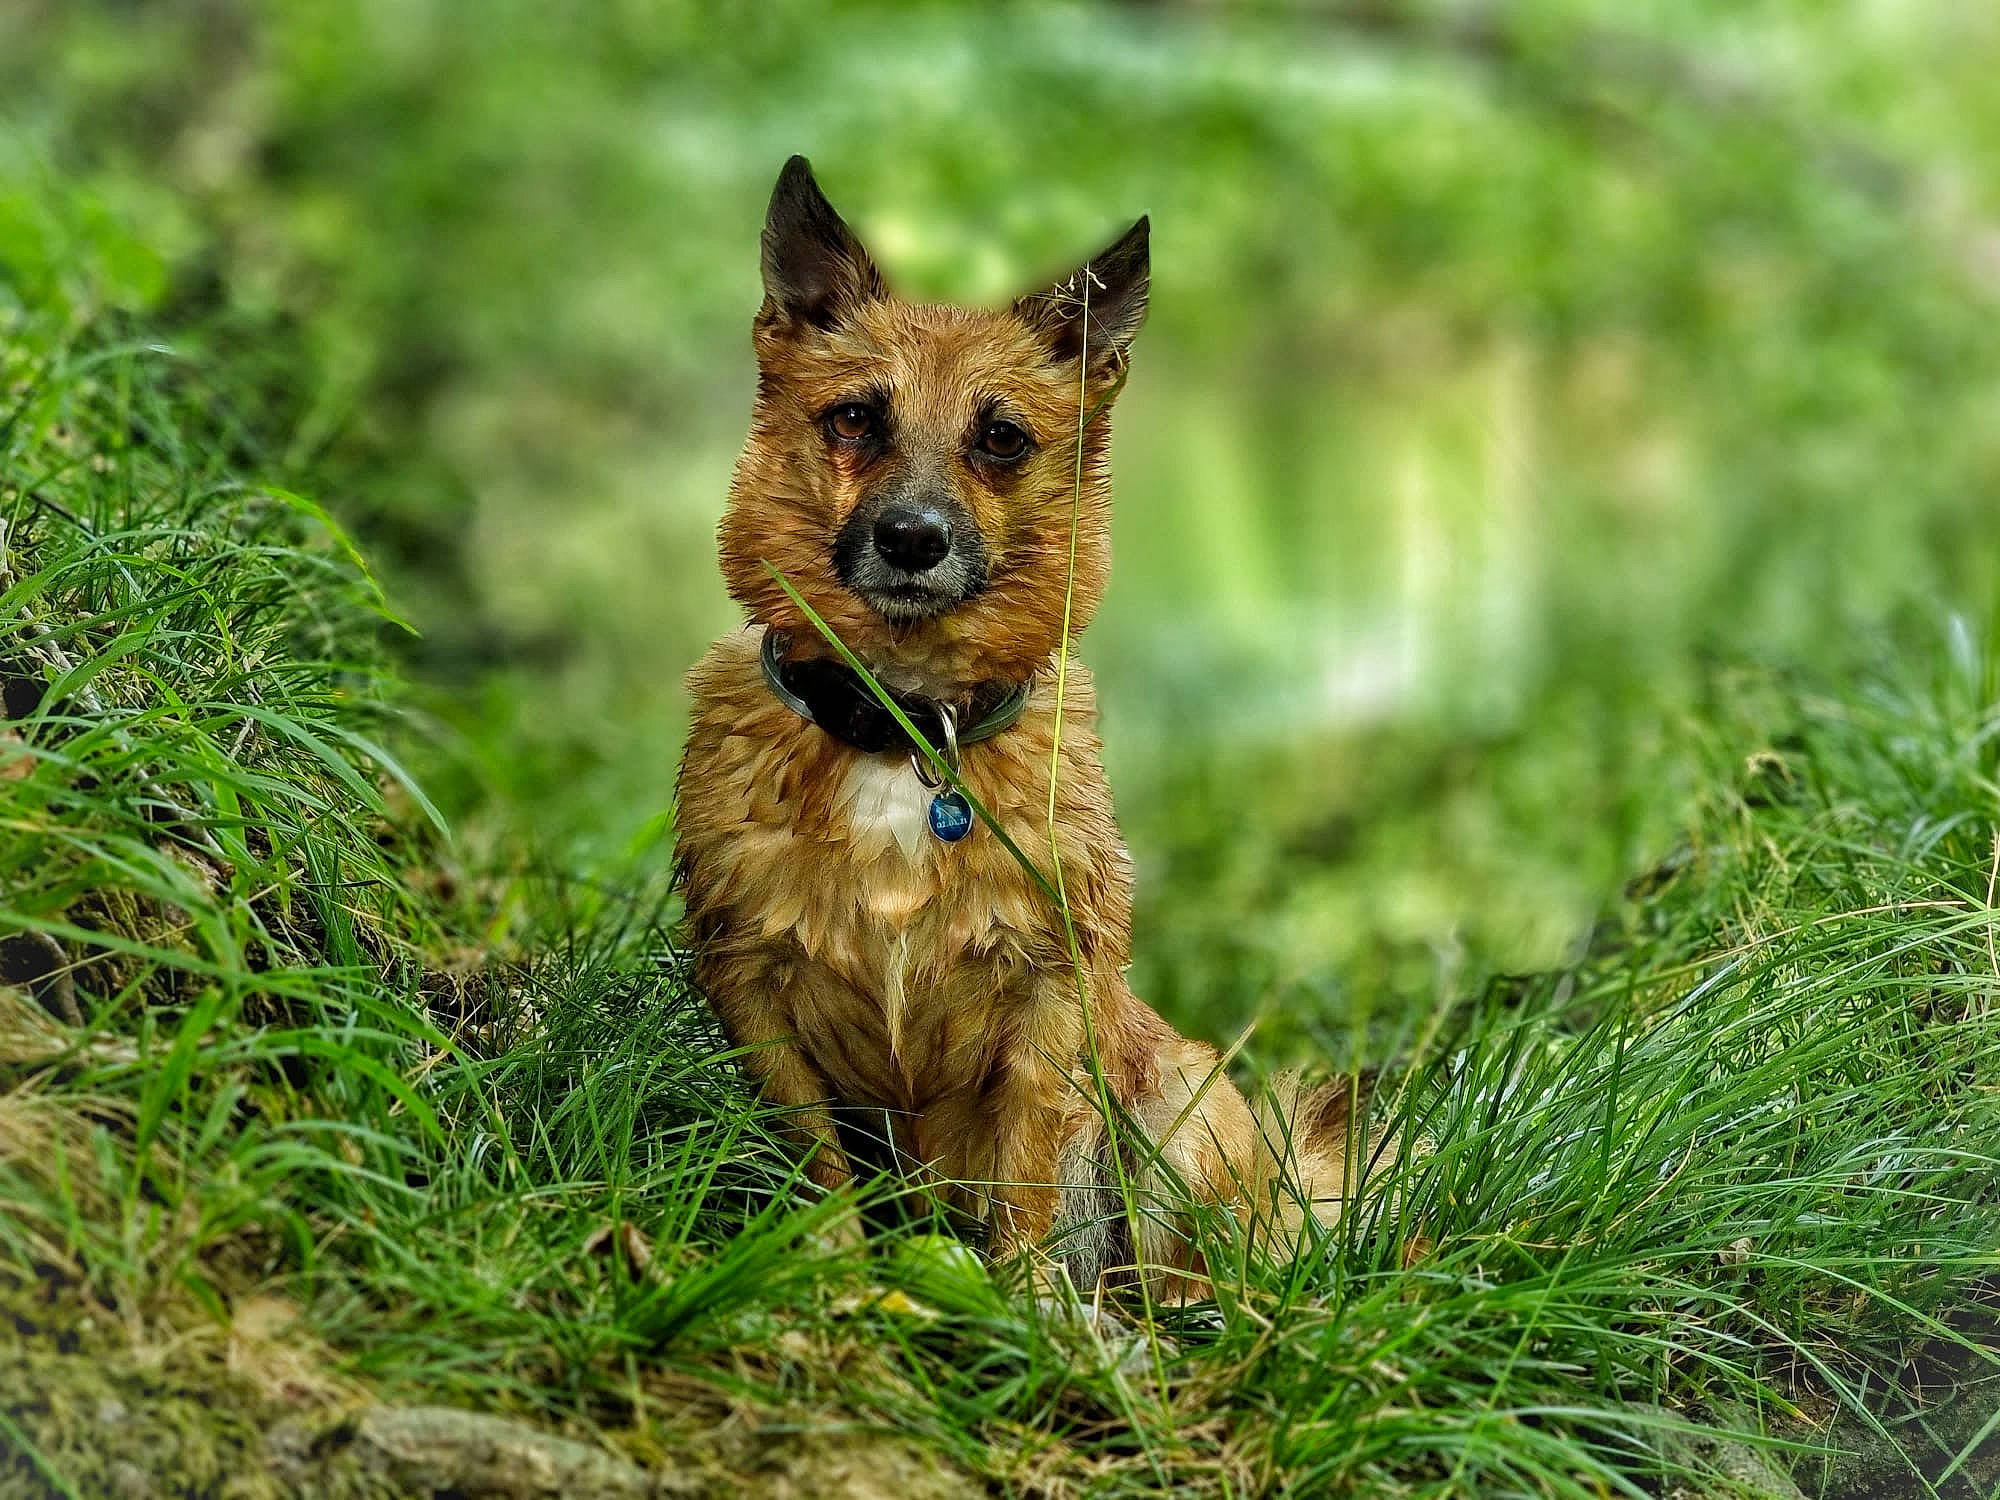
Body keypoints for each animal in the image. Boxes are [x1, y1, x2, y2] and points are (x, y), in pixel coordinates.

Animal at [674, 156, 1376, 1297]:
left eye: (1000, 438)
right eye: (854, 419)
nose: (911, 539)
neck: (907, 727)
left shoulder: (1050, 1000)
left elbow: (1026, 1173)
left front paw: (1026, 1306)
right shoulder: (756, 997)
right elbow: (819, 1169)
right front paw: (832, 1276)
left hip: (1182, 1108)